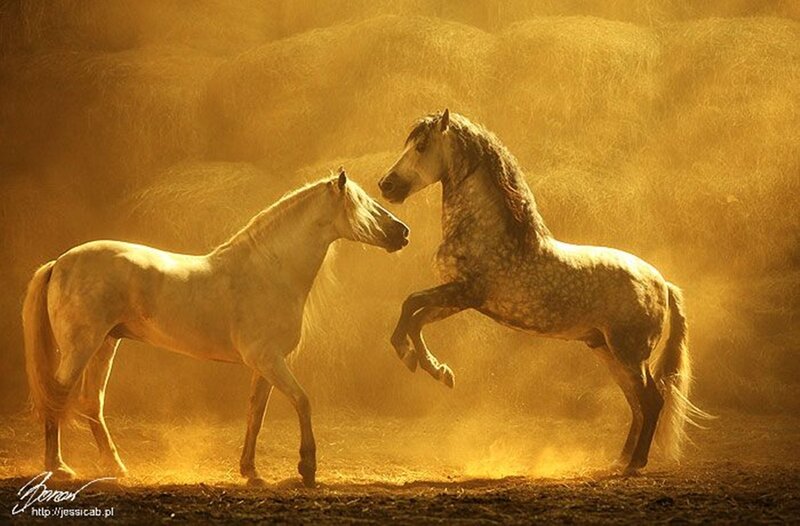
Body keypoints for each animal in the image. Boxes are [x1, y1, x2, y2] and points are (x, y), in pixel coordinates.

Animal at [22, 169, 409, 487]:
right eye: (365, 204)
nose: (403, 232)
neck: (268, 272)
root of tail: (60, 263)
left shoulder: (264, 366)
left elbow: (256, 415)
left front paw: (251, 472)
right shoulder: (269, 360)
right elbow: (302, 400)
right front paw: (307, 468)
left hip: (105, 343)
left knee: (91, 401)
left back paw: (114, 466)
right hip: (81, 347)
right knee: (58, 396)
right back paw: (58, 468)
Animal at [378, 110, 708, 474]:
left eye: (422, 145)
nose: (386, 185)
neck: (490, 233)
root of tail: (663, 283)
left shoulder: (464, 292)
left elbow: (411, 307)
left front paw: (419, 362)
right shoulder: (459, 299)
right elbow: (416, 316)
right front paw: (436, 369)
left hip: (629, 352)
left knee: (652, 401)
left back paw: (635, 464)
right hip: (608, 351)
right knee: (636, 403)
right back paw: (621, 458)